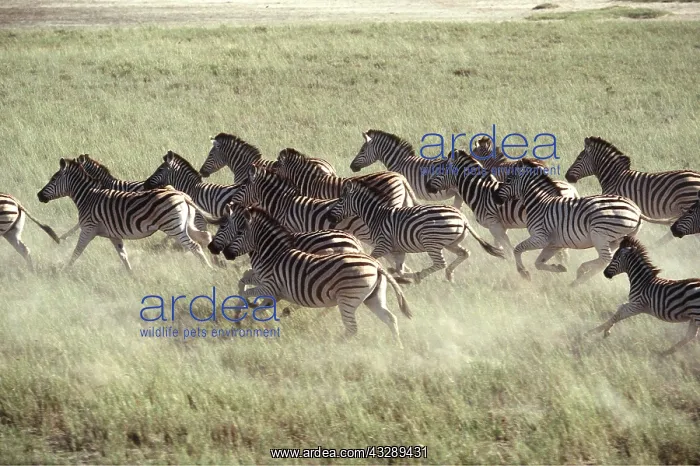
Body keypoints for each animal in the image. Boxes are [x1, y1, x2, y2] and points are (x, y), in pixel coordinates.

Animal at [37, 157, 218, 271]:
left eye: (53, 179)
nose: (39, 195)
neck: (88, 197)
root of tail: (182, 195)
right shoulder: (113, 235)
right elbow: (123, 255)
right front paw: (131, 275)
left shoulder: (88, 228)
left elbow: (77, 251)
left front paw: (64, 271)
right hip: (186, 224)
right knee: (204, 237)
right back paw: (211, 264)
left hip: (173, 227)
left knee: (194, 245)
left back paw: (207, 267)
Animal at [208, 205, 413, 347]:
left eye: (238, 231)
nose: (222, 252)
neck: (273, 254)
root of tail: (376, 265)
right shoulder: (264, 281)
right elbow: (243, 282)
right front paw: (248, 315)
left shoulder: (269, 286)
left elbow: (245, 292)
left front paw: (245, 314)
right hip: (373, 297)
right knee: (390, 318)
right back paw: (398, 347)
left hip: (348, 297)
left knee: (352, 328)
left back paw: (335, 347)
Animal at [327, 182, 505, 283]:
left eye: (340, 200)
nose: (330, 216)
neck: (376, 216)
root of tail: (462, 218)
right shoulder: (398, 249)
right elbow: (399, 269)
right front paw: (400, 275)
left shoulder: (383, 244)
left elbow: (374, 259)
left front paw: (406, 276)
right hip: (451, 242)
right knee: (465, 253)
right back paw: (449, 275)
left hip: (432, 242)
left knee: (440, 263)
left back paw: (424, 275)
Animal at [426, 149, 578, 260]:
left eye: (440, 170)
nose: (427, 186)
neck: (480, 193)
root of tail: (572, 189)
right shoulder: (501, 226)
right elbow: (500, 246)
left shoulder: (494, 225)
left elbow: (507, 249)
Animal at [494, 159, 643, 286]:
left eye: (508, 179)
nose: (495, 198)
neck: (539, 203)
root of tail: (637, 211)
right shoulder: (554, 244)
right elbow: (538, 263)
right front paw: (559, 268)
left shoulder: (540, 238)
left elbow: (517, 249)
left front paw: (523, 273)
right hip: (614, 240)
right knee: (604, 261)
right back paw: (580, 275)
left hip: (599, 235)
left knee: (605, 259)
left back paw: (580, 276)